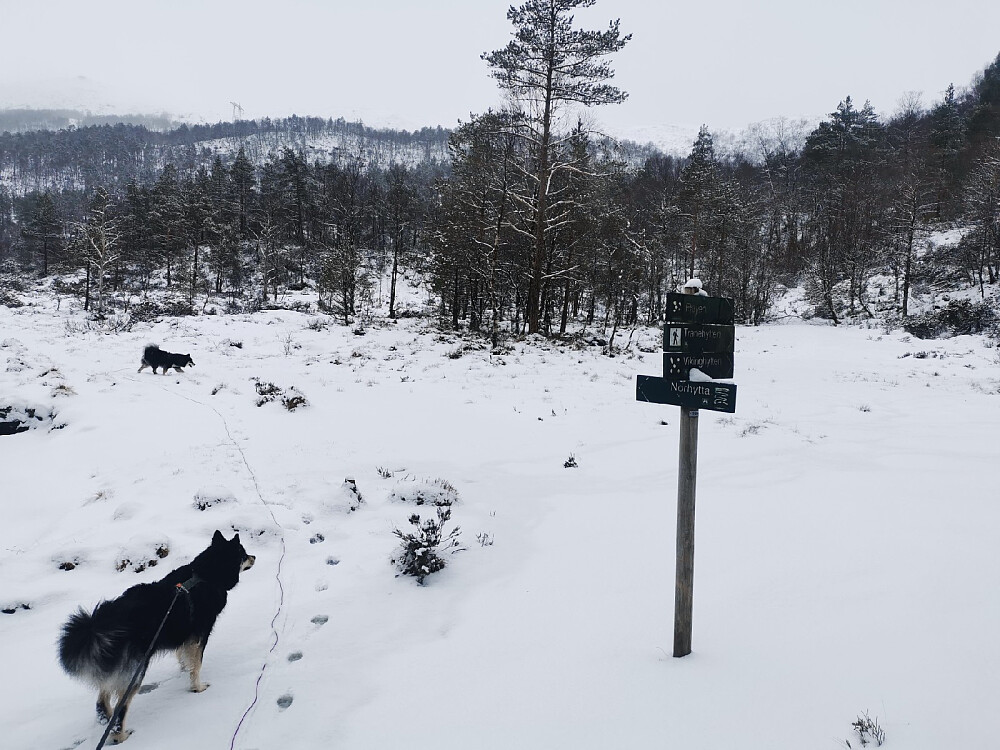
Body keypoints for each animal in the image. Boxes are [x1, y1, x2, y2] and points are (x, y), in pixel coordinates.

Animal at [59, 531, 255, 744]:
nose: (254, 557)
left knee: (101, 703)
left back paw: (107, 722)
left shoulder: (185, 636)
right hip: (136, 670)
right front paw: (197, 687)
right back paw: (121, 735)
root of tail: (103, 623)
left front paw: (183, 669)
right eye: (244, 554)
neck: (206, 574)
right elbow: (197, 665)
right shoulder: (200, 635)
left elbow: (183, 656)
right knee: (121, 707)